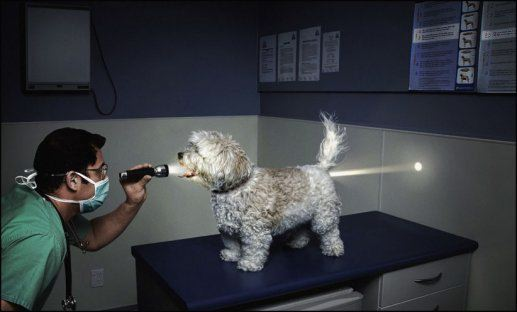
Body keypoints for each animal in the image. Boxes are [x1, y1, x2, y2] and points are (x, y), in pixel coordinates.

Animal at [177, 112, 346, 270]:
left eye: (197, 150)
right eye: (190, 145)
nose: (180, 154)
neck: (235, 188)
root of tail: (320, 168)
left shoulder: (255, 231)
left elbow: (254, 249)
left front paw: (249, 263)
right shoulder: (227, 227)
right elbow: (231, 244)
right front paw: (231, 255)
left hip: (324, 216)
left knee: (330, 231)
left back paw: (334, 248)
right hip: (300, 213)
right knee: (302, 227)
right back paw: (298, 242)